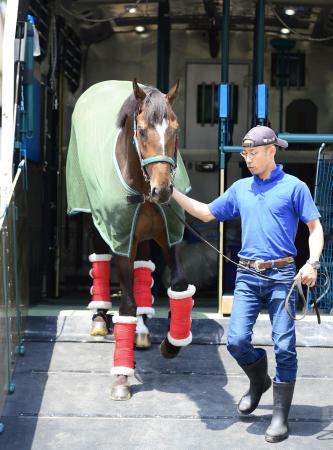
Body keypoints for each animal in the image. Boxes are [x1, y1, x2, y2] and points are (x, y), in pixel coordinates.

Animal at [65, 79, 195, 400]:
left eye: (175, 128)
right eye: (143, 130)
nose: (164, 190)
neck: (142, 189)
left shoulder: (169, 236)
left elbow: (179, 286)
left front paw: (172, 344)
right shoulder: (121, 240)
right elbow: (126, 305)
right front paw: (121, 378)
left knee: (144, 267)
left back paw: (142, 330)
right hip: (95, 221)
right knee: (99, 260)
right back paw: (100, 318)